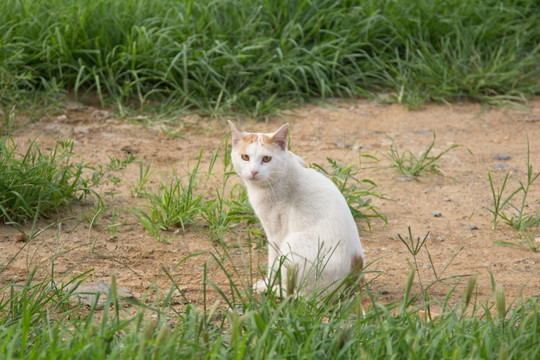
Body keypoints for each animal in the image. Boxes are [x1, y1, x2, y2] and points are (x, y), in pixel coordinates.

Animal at [228, 119, 362, 296]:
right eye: (245, 157)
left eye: (266, 158)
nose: (254, 171)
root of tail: (353, 281)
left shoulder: (276, 233)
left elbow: (272, 262)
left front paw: (268, 284)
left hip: (292, 244)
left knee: (298, 295)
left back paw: (275, 290)